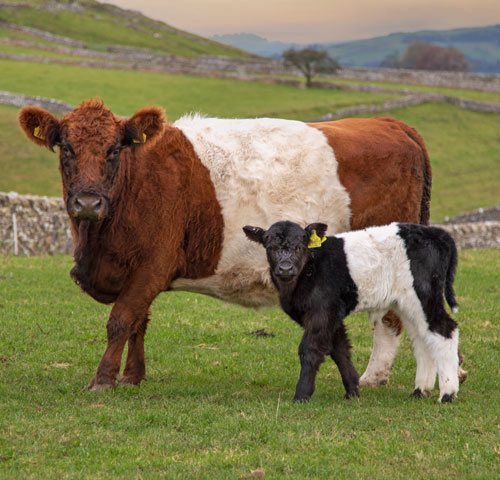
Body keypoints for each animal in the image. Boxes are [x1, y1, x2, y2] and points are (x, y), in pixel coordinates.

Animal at [243, 223, 460, 404]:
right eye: (269, 247)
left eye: (300, 247)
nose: (285, 268)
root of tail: (436, 232)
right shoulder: (333, 315)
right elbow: (340, 351)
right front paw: (352, 391)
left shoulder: (322, 312)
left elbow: (310, 350)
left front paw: (302, 394)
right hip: (407, 305)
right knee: (423, 339)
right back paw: (420, 390)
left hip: (425, 295)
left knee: (444, 329)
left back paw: (447, 394)